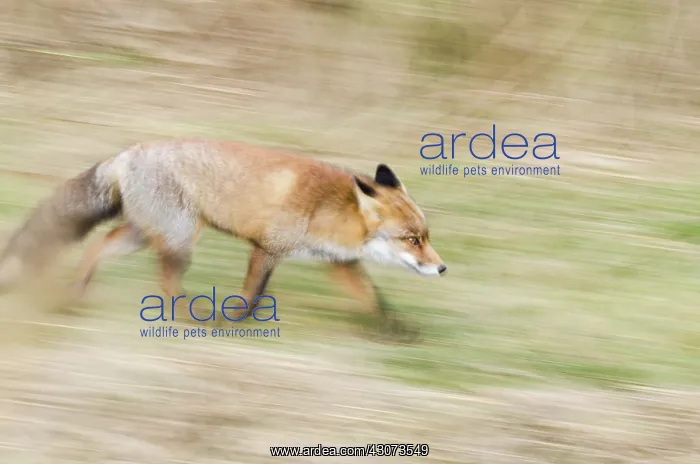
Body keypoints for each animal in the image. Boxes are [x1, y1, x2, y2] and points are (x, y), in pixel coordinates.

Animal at [0, 139, 446, 319]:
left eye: (427, 238)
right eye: (412, 240)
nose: (441, 269)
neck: (331, 211)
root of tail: (128, 153)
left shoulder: (338, 263)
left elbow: (374, 301)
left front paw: (396, 332)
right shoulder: (268, 248)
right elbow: (251, 296)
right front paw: (232, 321)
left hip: (145, 235)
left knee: (100, 245)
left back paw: (76, 292)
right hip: (180, 239)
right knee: (166, 283)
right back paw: (186, 316)